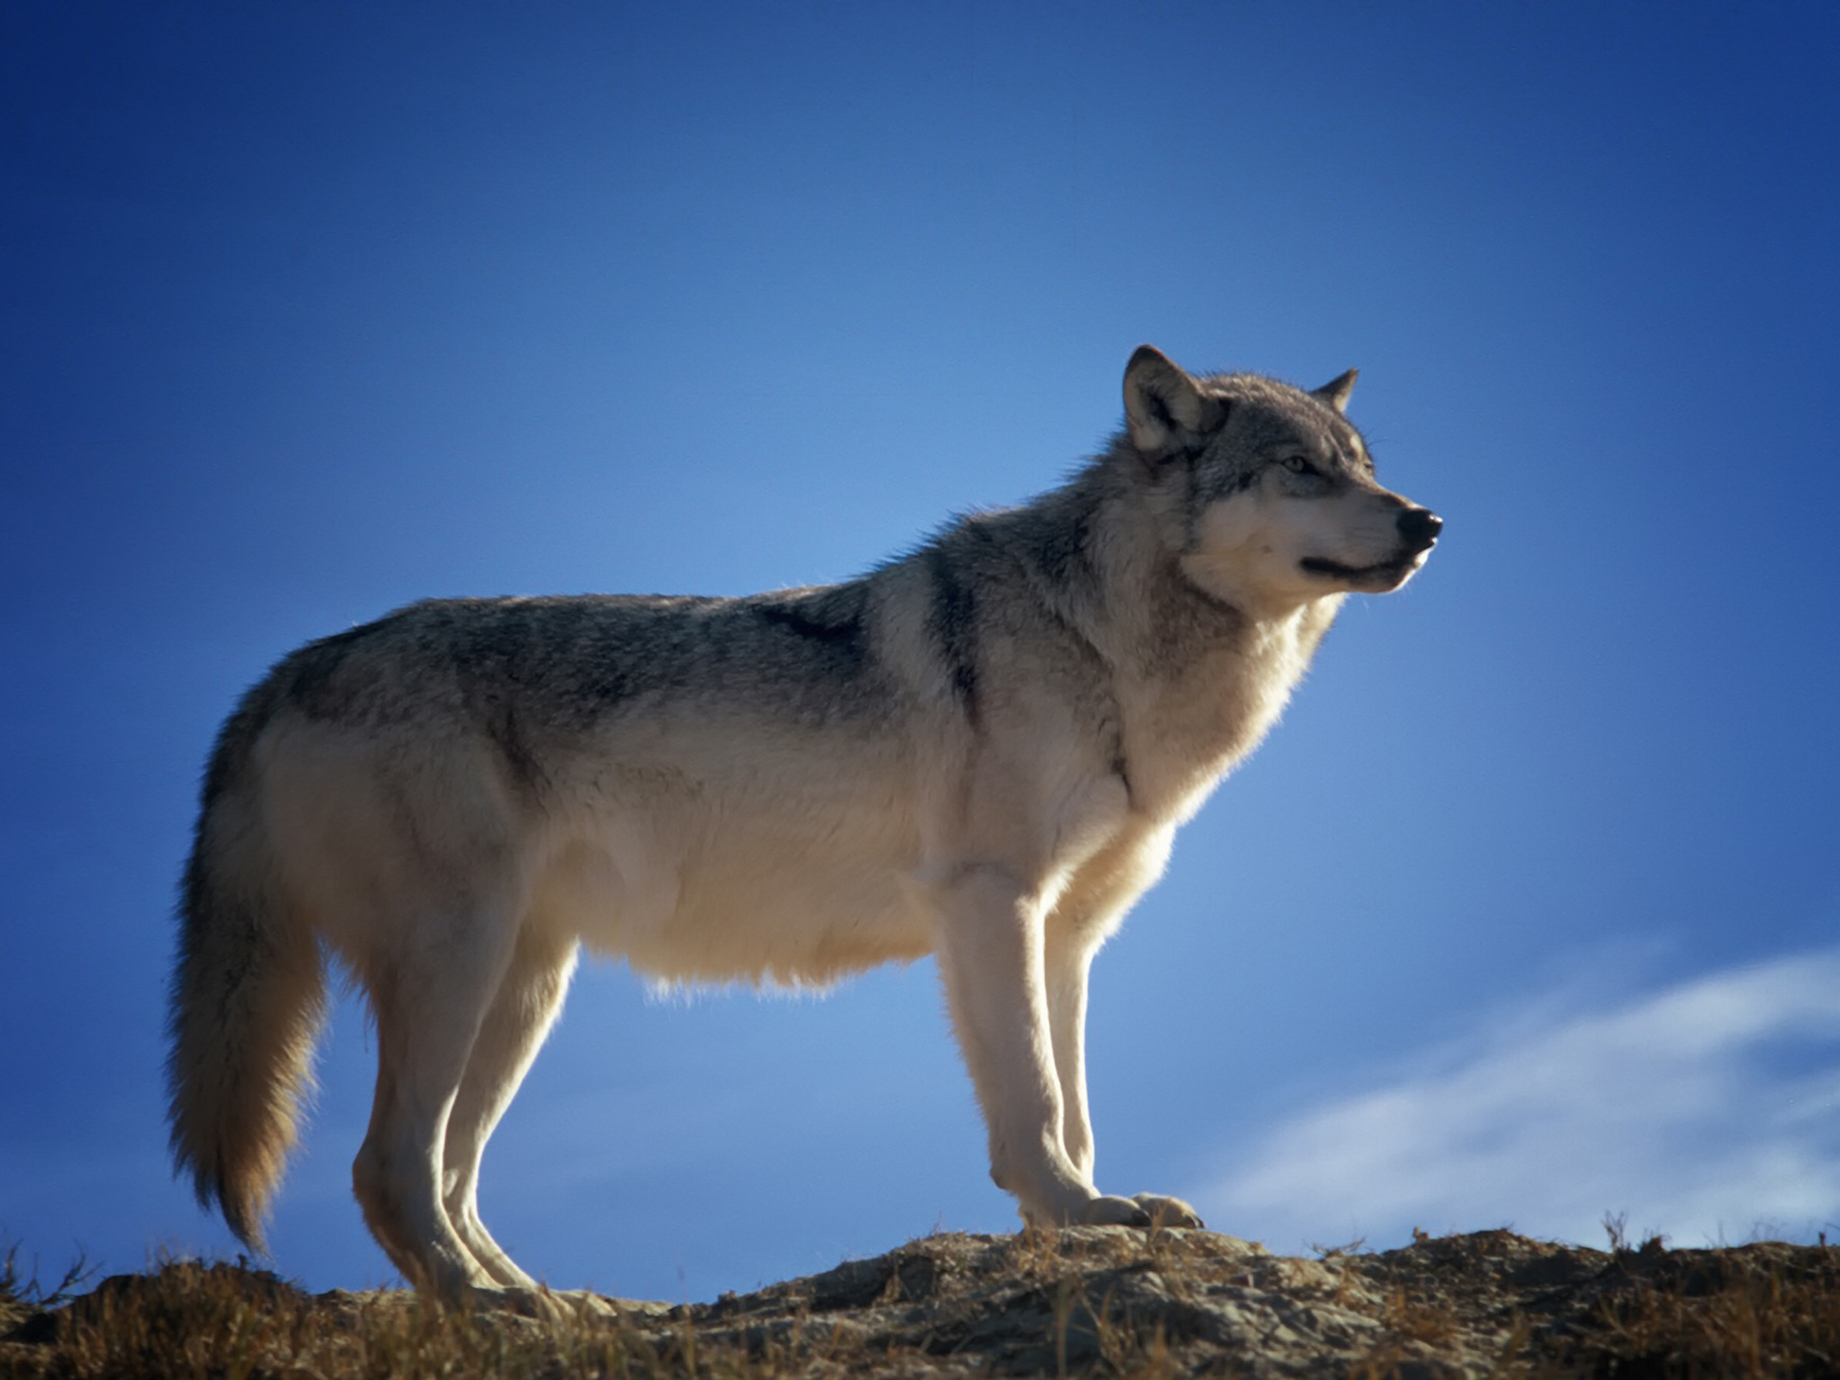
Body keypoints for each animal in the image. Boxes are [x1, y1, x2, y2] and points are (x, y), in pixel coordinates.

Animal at [165, 345, 1442, 1310]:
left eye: (1362, 467)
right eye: (1297, 470)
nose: (1426, 522)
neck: (1102, 641)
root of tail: (283, 672)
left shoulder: (1069, 935)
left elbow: (1075, 1105)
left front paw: (1088, 1215)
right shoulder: (990, 904)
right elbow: (1032, 1103)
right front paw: (1077, 1217)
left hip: (525, 991)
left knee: (449, 1176)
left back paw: (552, 1305)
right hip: (460, 964)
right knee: (389, 1169)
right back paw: (487, 1309)